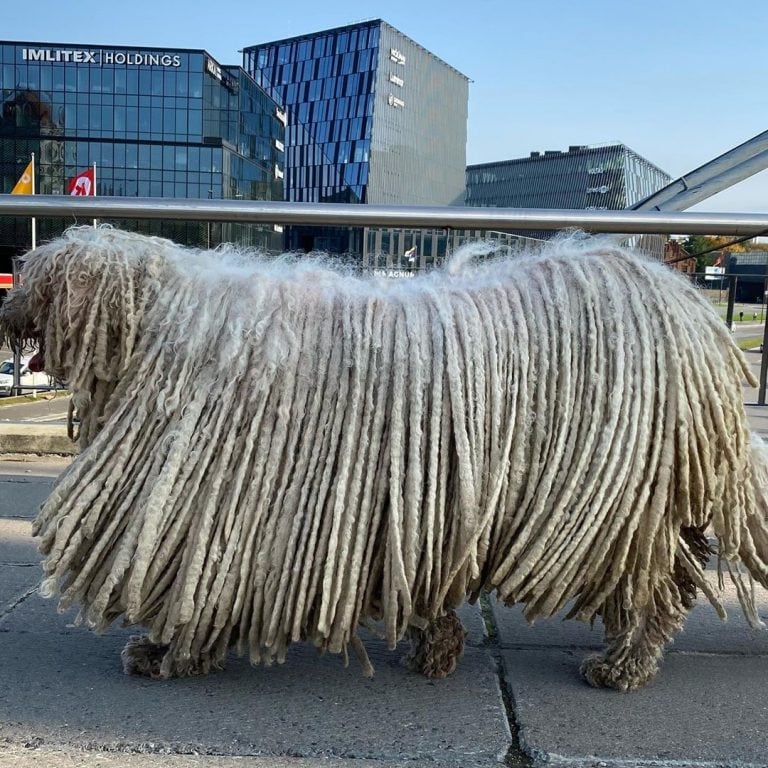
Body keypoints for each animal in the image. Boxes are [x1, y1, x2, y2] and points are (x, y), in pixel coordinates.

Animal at [1, 226, 768, 688]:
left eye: (35, 277)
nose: (5, 312)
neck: (165, 324)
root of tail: (692, 313)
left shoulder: (221, 509)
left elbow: (197, 589)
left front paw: (168, 652)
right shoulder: (413, 513)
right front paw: (437, 642)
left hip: (612, 500)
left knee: (650, 586)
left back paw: (622, 663)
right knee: (671, 570)